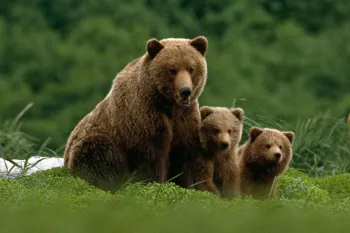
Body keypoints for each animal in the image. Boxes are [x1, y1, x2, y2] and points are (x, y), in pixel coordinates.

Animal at [63, 35, 209, 190]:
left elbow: (183, 157)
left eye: (191, 68)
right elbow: (152, 157)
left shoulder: (185, 119)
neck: (168, 105)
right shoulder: (144, 117)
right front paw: (154, 183)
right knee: (99, 159)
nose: (185, 91)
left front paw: (187, 185)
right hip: (96, 143)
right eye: (172, 70)